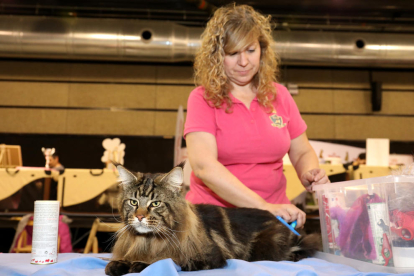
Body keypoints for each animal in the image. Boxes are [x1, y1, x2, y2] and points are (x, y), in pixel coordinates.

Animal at [106, 164, 320, 276]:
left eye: (155, 203)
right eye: (133, 202)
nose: (140, 216)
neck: (148, 241)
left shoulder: (208, 257)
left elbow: (167, 259)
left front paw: (140, 265)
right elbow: (115, 263)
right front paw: (118, 265)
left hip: (265, 249)